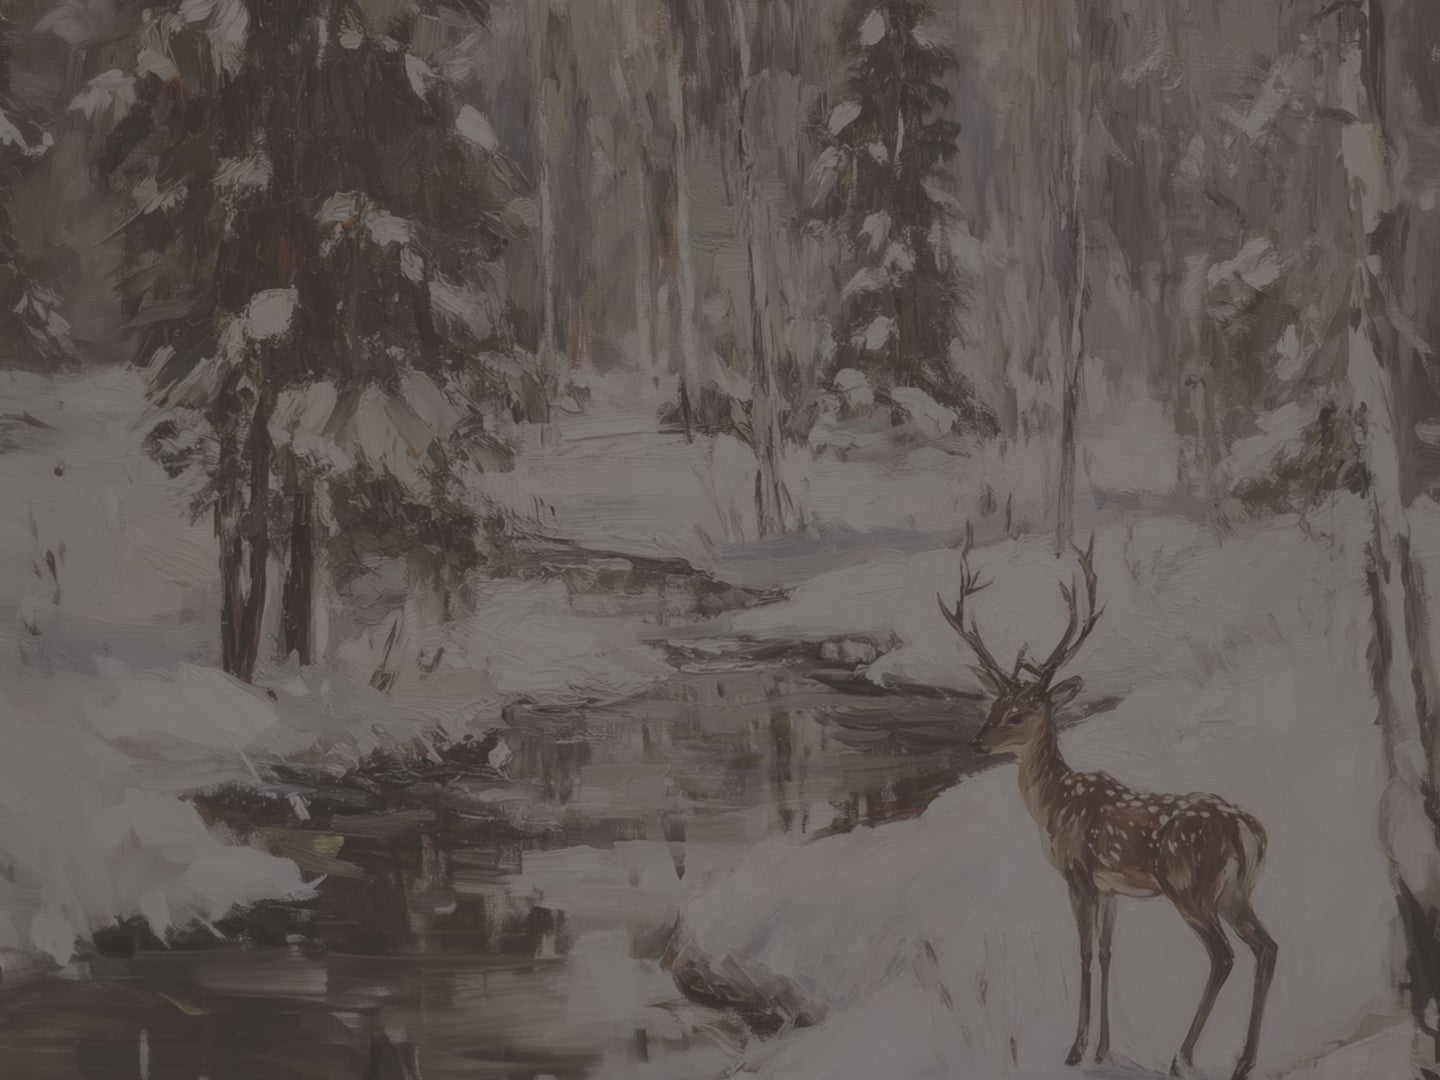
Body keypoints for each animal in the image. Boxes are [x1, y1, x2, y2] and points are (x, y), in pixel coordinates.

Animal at [938, 525, 1276, 1080]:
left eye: (1020, 713)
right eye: (994, 704)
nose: (977, 743)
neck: (1054, 807)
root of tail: (1247, 829)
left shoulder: (1077, 872)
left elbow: (1082, 954)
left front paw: (1075, 1049)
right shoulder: (1111, 887)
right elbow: (1108, 952)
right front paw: (1102, 1047)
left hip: (1191, 887)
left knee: (1224, 956)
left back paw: (1182, 1056)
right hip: (1236, 890)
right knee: (1266, 946)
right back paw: (1243, 1060)